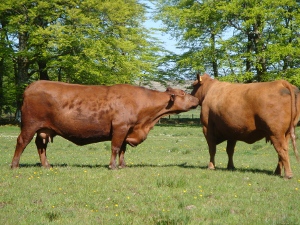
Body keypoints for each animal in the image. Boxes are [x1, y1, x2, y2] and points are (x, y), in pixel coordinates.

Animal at [11, 81, 199, 169]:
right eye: (183, 93)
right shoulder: (120, 127)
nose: (197, 99)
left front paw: (123, 165)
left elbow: (123, 149)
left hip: (43, 130)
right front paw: (113, 166)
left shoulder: (127, 130)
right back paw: (14, 165)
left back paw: (46, 165)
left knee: (40, 145)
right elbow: (115, 148)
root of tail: (32, 85)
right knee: (22, 142)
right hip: (30, 125)